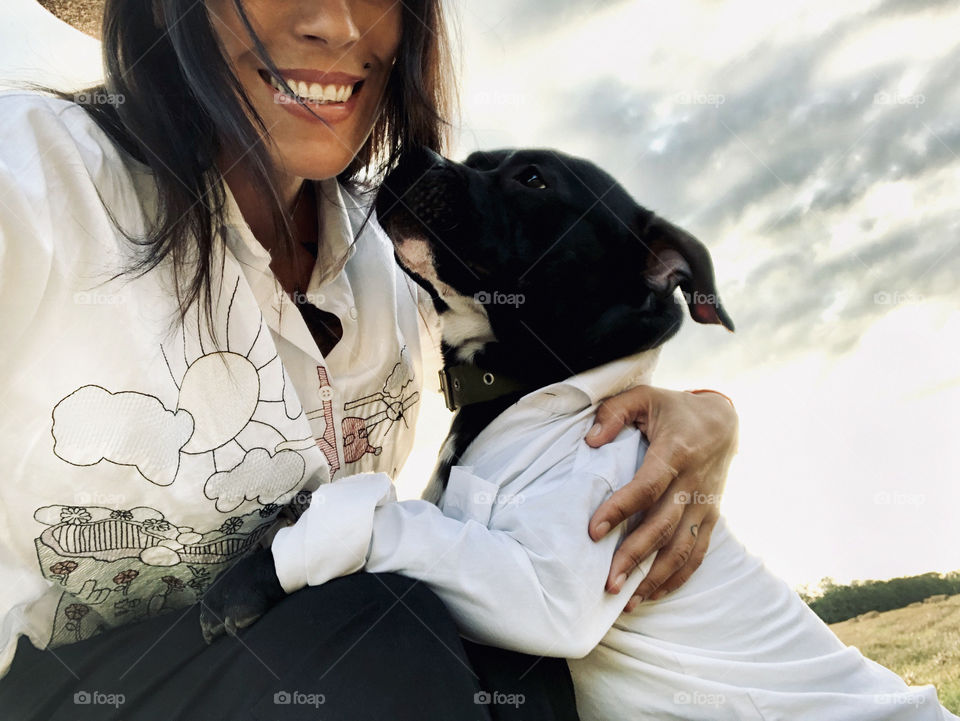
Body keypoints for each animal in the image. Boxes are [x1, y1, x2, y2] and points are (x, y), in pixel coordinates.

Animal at [199, 145, 732, 636]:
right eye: (476, 160)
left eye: (533, 179)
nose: (413, 152)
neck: (525, 379)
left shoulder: (547, 575)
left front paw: (249, 577)